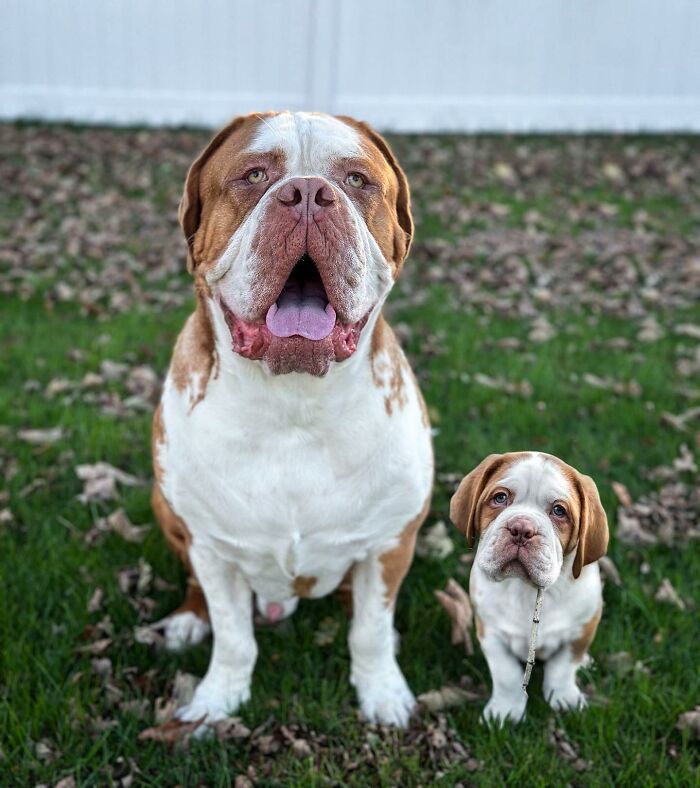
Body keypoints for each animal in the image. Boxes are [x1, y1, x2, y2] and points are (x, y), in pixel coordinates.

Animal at [153, 109, 432, 728]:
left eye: (356, 180)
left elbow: (370, 630)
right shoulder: (211, 547)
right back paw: (187, 619)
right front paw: (217, 700)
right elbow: (233, 636)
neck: (294, 408)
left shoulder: (390, 542)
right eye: (255, 175)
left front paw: (382, 692)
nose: (307, 193)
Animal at [448, 452, 608, 724]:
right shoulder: (490, 632)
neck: (526, 590)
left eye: (559, 511)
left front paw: (565, 698)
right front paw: (504, 710)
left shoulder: (581, 630)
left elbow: (563, 667)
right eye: (500, 497)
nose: (522, 529)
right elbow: (506, 675)